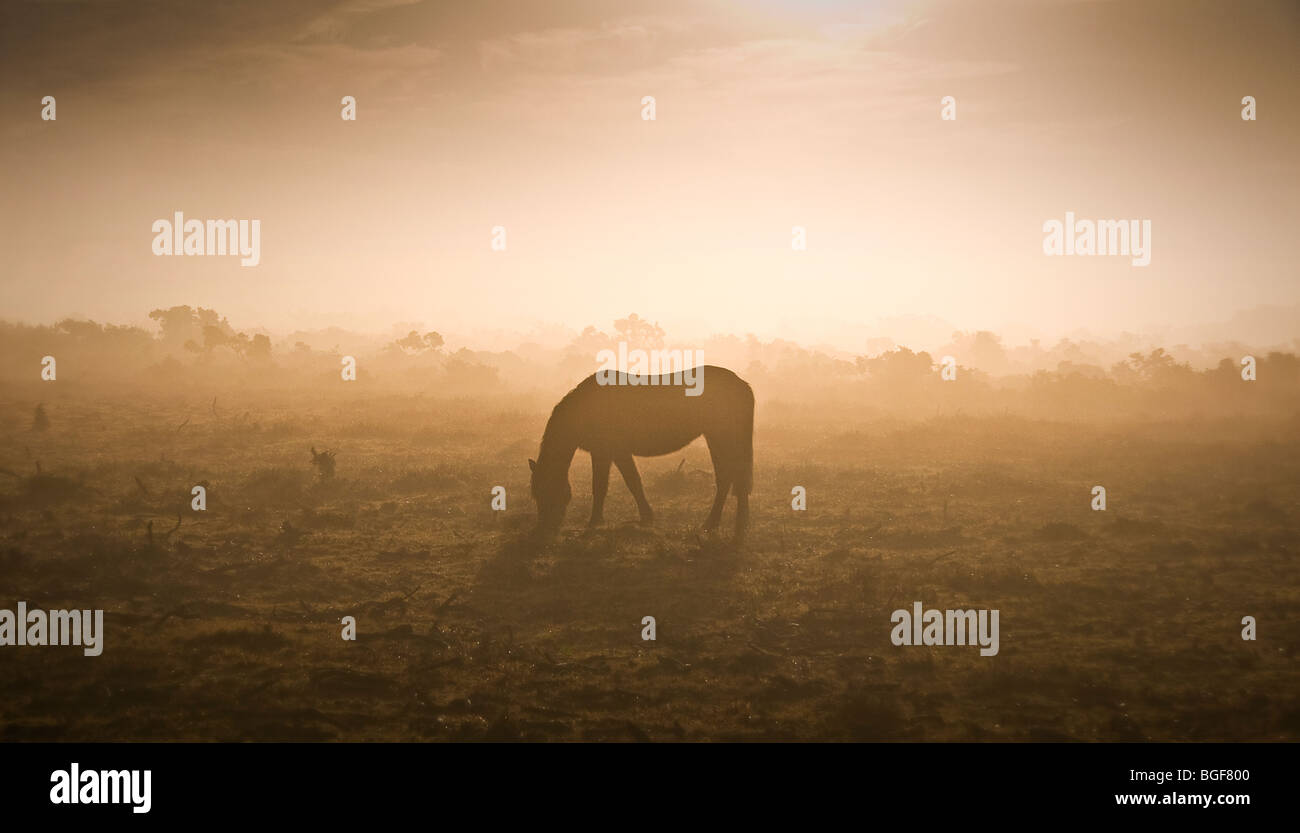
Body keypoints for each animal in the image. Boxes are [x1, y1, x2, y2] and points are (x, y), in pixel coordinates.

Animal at [525, 363, 754, 540]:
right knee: (727, 478)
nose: (543, 529)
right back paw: (720, 523)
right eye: (536, 494)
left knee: (732, 478)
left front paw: (600, 521)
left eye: (549, 491)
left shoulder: (613, 452)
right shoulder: (606, 453)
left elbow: (622, 483)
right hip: (716, 439)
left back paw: (727, 524)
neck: (586, 409)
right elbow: (614, 485)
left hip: (723, 438)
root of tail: (742, 384)